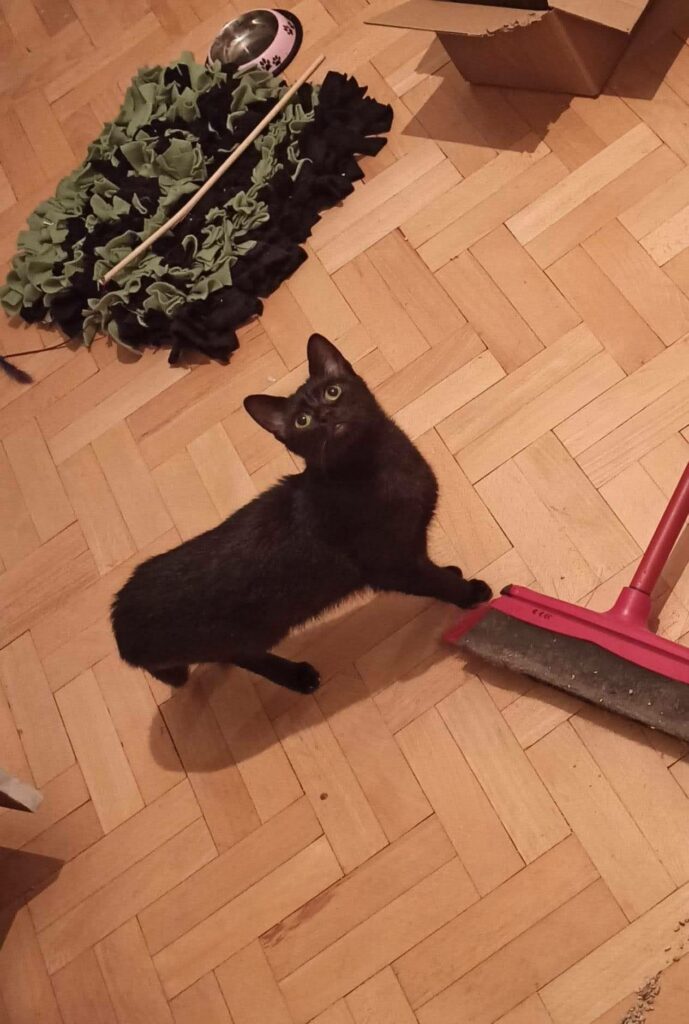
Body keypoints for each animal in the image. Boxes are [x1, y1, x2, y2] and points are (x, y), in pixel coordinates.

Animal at [111, 334, 492, 693]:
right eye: (303, 421)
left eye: (333, 392)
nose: (325, 416)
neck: (380, 464)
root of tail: (119, 616)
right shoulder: (391, 565)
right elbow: (433, 581)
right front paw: (469, 594)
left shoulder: (410, 549)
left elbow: (430, 568)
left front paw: (450, 572)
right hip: (246, 634)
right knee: (245, 657)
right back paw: (297, 677)